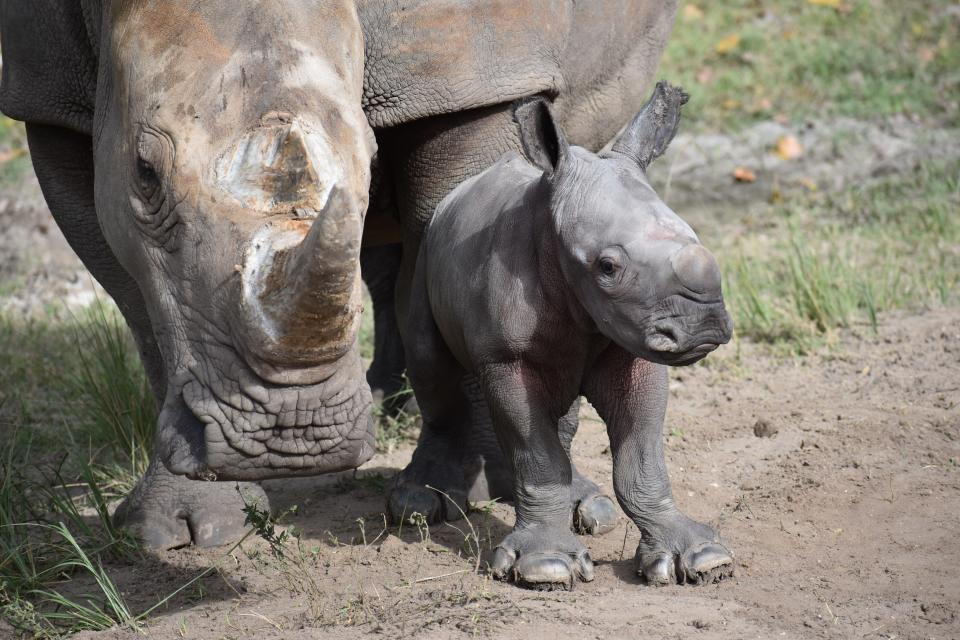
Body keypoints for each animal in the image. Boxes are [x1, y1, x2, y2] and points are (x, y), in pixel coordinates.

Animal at [404, 82, 736, 592]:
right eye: (608, 267)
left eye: (696, 236)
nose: (703, 325)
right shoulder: (507, 359)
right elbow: (537, 454)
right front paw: (545, 567)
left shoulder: (635, 348)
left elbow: (641, 459)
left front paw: (701, 556)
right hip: (425, 258)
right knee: (430, 368)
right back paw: (418, 506)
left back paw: (589, 507)